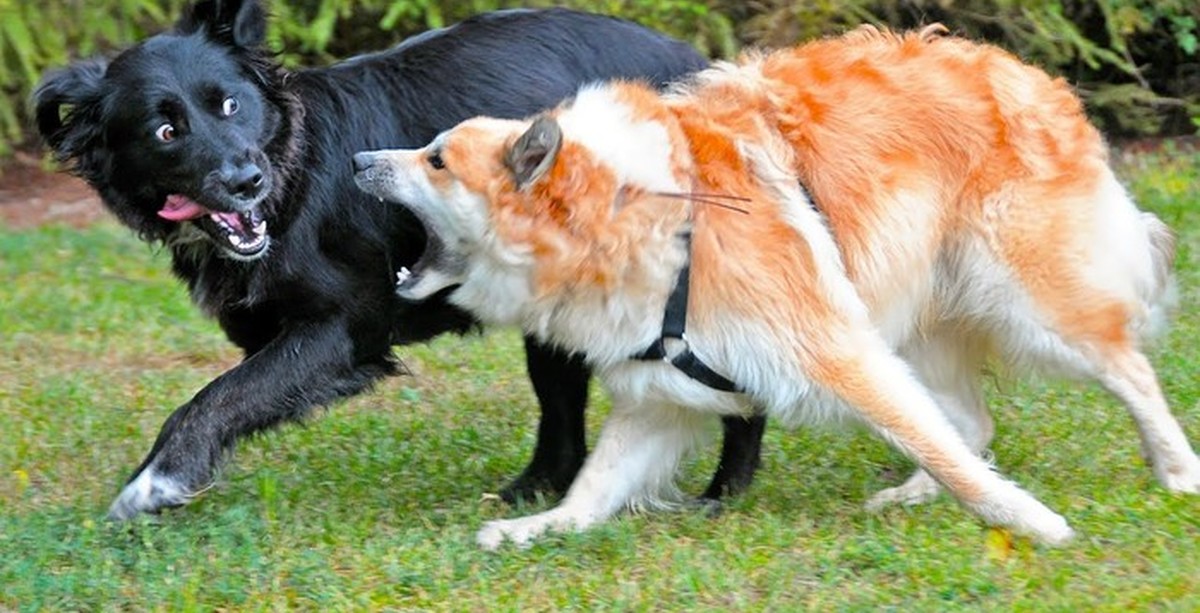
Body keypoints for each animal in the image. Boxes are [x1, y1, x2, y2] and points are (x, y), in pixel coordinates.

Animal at [37, 0, 768, 520]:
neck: (293, 172)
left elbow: (214, 398)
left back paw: (723, 494)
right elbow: (238, 392)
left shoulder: (344, 329)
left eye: (231, 104)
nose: (246, 181)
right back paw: (533, 490)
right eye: (165, 130)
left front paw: (154, 483)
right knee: (563, 413)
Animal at [350, 26, 1195, 549]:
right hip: (917, 318)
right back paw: (913, 495)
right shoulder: (660, 397)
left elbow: (939, 446)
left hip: (1028, 306)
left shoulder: (837, 351)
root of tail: (1025, 73)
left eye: (436, 160)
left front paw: (1033, 523)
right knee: (973, 422)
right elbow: (594, 485)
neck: (640, 217)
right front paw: (540, 527)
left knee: (1127, 370)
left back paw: (1178, 469)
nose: (359, 161)